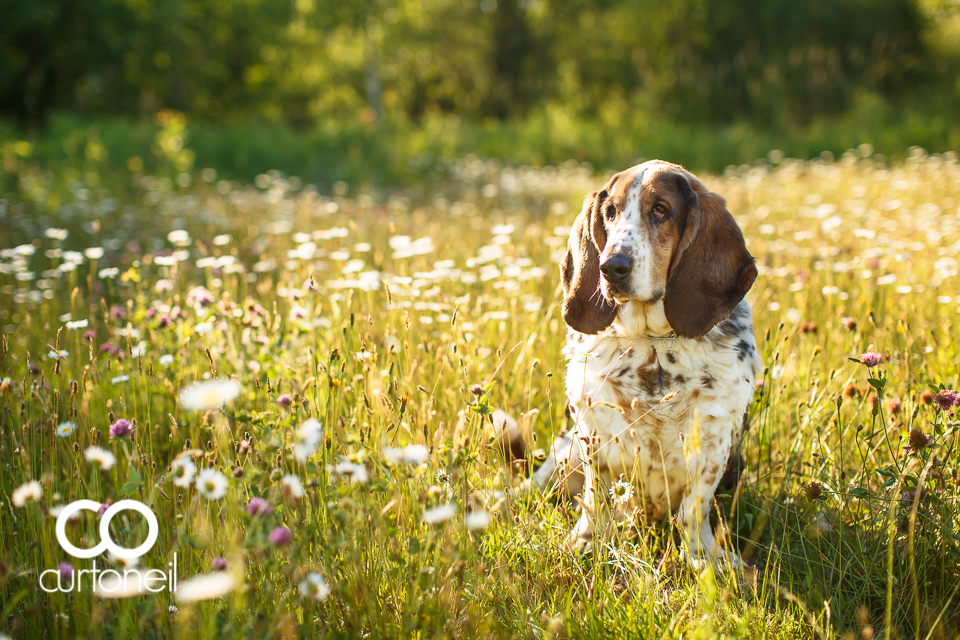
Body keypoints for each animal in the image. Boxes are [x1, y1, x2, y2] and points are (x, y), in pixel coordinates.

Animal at [528, 161, 760, 568]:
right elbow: (596, 500)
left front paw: (705, 560)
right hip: (563, 451)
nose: (610, 267)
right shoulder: (593, 432)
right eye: (610, 212)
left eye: (661, 210)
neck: (655, 344)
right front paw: (585, 543)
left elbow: (694, 509)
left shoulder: (713, 438)